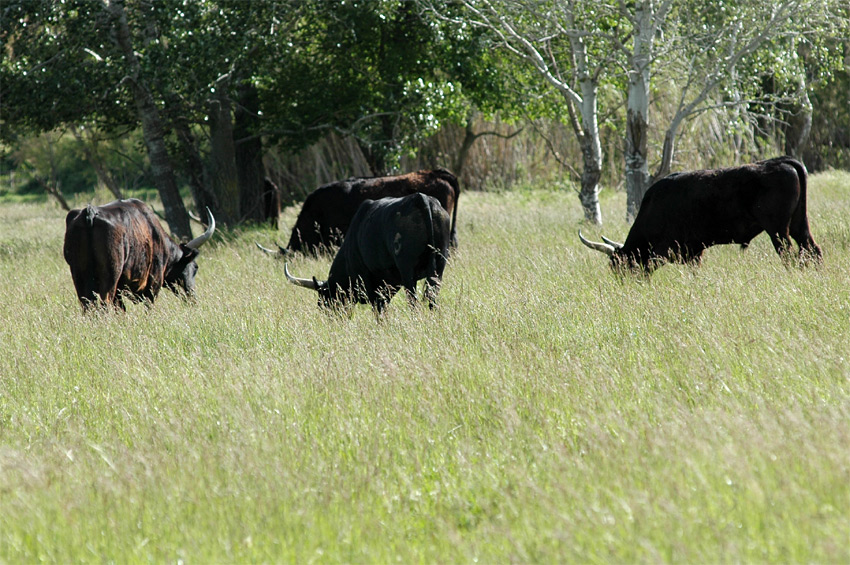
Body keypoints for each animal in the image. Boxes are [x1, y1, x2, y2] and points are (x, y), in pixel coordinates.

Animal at [63, 198, 215, 310]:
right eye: (195, 267)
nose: (193, 298)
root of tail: (90, 213)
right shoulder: (153, 284)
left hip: (79, 276)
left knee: (88, 306)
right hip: (110, 275)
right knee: (105, 303)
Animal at [284, 192, 450, 310]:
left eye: (325, 301)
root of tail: (420, 199)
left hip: (407, 271)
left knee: (413, 302)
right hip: (438, 267)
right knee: (432, 299)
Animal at [580, 155, 820, 272]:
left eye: (619, 266)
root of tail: (780, 161)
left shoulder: (664, 251)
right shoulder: (694, 253)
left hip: (778, 231)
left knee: (789, 255)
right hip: (799, 225)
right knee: (812, 251)